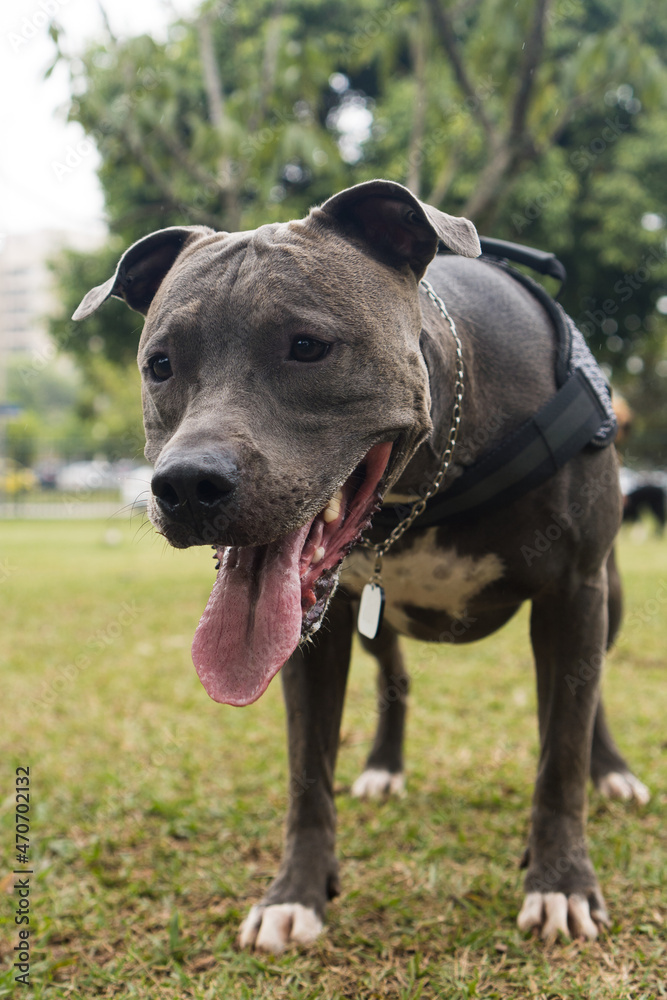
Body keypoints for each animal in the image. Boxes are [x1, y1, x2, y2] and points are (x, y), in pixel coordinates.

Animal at [75, 182, 648, 952]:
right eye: (160, 364)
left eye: (307, 347)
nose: (188, 484)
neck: (431, 471)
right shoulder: (316, 637)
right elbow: (306, 769)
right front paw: (295, 893)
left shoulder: (571, 592)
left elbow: (560, 753)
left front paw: (559, 881)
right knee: (395, 676)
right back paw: (383, 766)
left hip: (605, 596)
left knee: (589, 697)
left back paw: (610, 771)